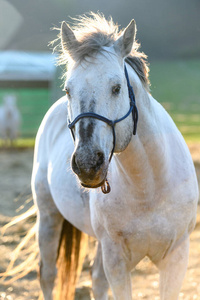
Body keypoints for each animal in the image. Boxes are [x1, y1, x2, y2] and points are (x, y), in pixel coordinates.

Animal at [31, 14, 198, 300]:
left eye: (116, 88)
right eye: (67, 90)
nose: (88, 163)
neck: (147, 188)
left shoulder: (176, 259)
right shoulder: (116, 262)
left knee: (96, 281)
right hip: (48, 215)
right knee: (49, 275)